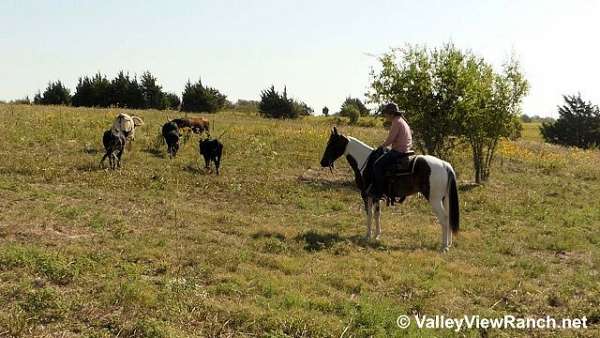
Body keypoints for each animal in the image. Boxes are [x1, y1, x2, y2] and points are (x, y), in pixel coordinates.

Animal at [318, 128, 460, 252]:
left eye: (332, 144)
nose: (323, 162)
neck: (366, 162)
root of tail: (445, 165)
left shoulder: (366, 195)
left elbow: (369, 214)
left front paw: (368, 236)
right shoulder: (376, 196)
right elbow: (377, 214)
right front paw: (377, 235)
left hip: (434, 199)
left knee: (444, 218)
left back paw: (444, 246)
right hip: (445, 198)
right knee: (449, 217)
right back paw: (449, 243)